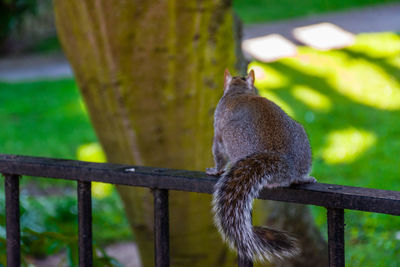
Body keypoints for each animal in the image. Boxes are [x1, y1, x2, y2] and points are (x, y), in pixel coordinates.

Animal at [206, 69, 316, 264]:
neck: (238, 92)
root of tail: (284, 163)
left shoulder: (217, 131)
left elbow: (218, 155)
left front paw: (215, 170)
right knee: (297, 177)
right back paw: (305, 178)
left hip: (232, 139)